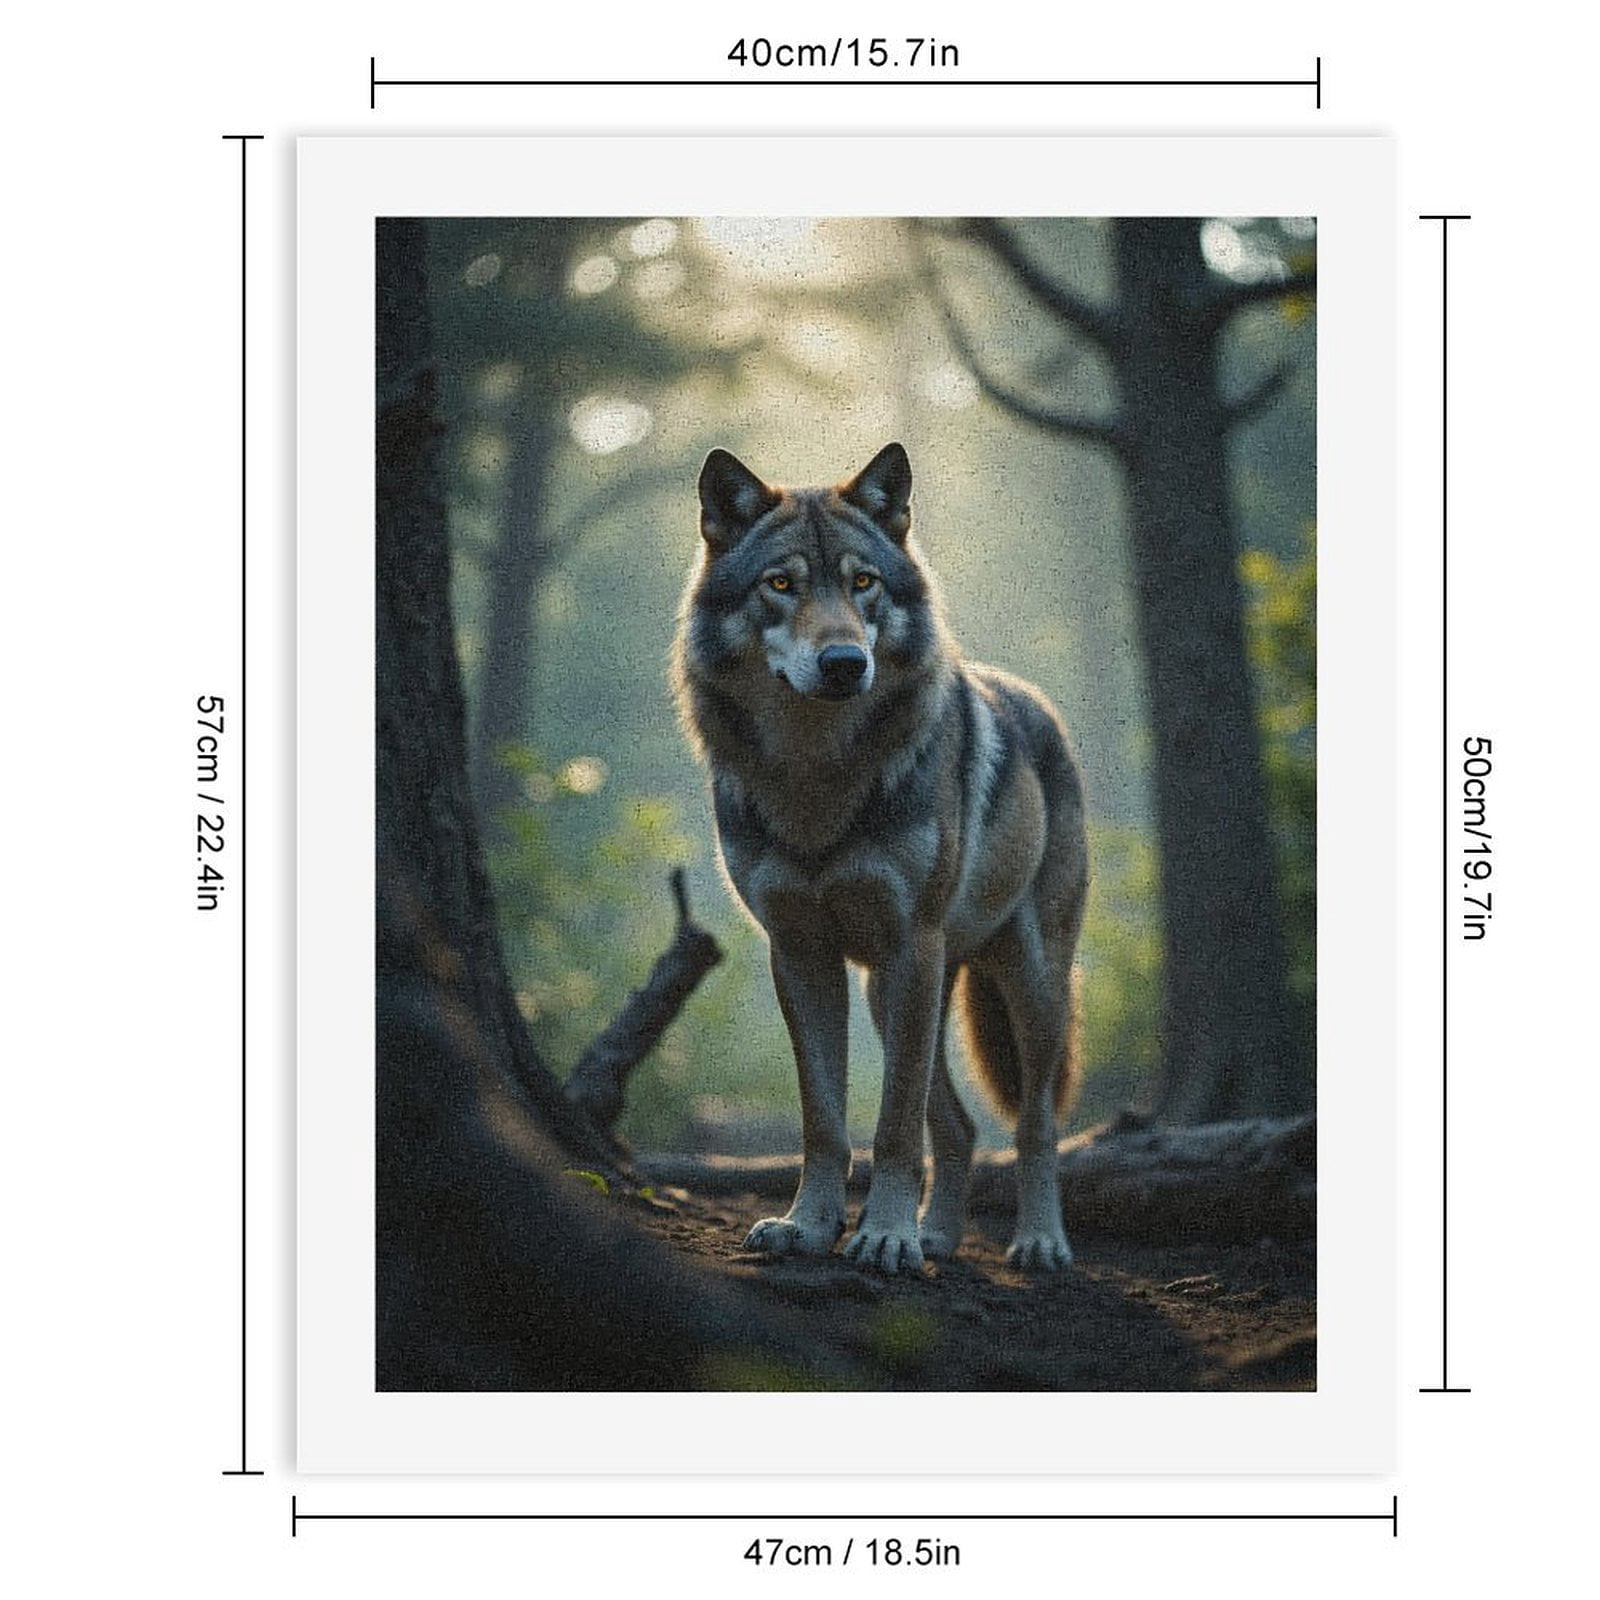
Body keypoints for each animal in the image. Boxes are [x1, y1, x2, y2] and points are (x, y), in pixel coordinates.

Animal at [672, 442, 1088, 1273]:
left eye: (862, 582)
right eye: (781, 584)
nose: (842, 662)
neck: (815, 777)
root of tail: (1036, 702)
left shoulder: (910, 947)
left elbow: (894, 1125)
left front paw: (886, 1236)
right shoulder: (801, 954)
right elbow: (825, 1121)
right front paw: (808, 1226)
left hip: (1024, 984)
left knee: (1035, 1123)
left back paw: (1038, 1241)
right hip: (893, 992)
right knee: (959, 1127)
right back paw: (939, 1237)